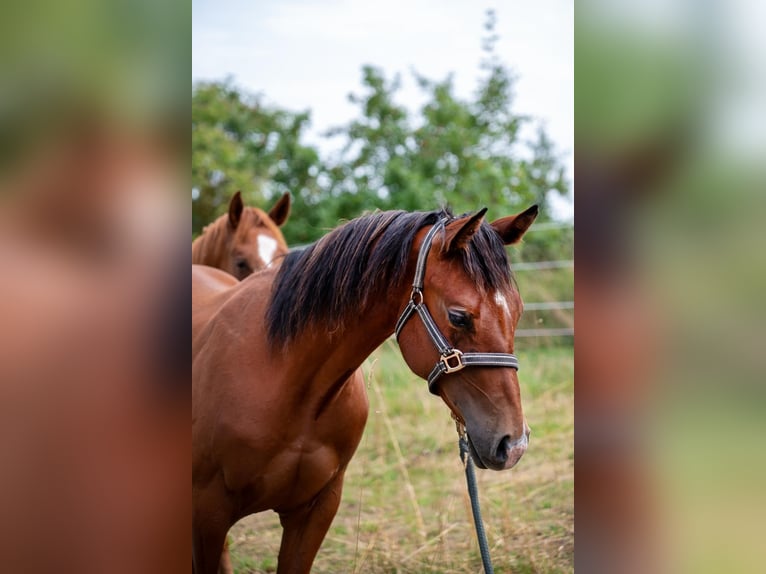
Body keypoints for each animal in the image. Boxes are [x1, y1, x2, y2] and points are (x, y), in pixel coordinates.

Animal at [192, 205, 538, 574]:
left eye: (517, 312)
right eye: (459, 316)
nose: (513, 444)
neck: (286, 376)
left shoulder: (315, 511)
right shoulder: (207, 517)